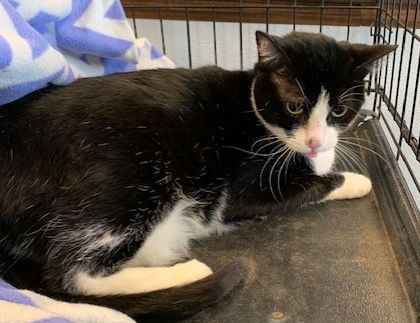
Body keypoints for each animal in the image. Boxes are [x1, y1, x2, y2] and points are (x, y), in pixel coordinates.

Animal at [0, 31, 396, 320]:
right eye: (295, 106)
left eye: (339, 111)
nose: (315, 141)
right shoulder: (246, 184)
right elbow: (311, 184)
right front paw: (356, 180)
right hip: (130, 175)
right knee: (71, 275)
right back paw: (188, 271)